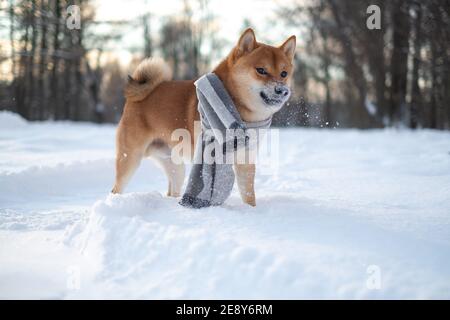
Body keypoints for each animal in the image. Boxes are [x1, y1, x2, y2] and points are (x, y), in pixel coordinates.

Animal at [112, 28, 296, 206]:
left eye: (284, 73)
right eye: (261, 70)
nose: (282, 91)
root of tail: (136, 96)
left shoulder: (246, 159)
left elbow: (248, 194)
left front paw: (251, 210)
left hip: (175, 166)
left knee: (172, 189)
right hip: (131, 158)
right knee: (116, 188)